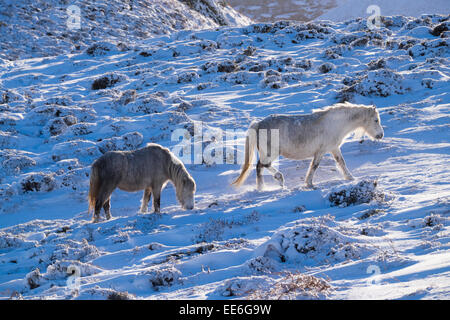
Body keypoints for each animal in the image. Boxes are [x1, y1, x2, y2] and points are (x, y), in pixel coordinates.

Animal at [232, 102, 384, 189]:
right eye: (376, 120)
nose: (381, 135)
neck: (335, 124)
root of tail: (258, 124)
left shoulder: (333, 148)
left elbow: (341, 162)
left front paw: (350, 178)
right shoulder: (321, 151)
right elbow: (314, 166)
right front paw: (309, 184)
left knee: (261, 167)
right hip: (271, 153)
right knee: (261, 166)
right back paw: (267, 185)